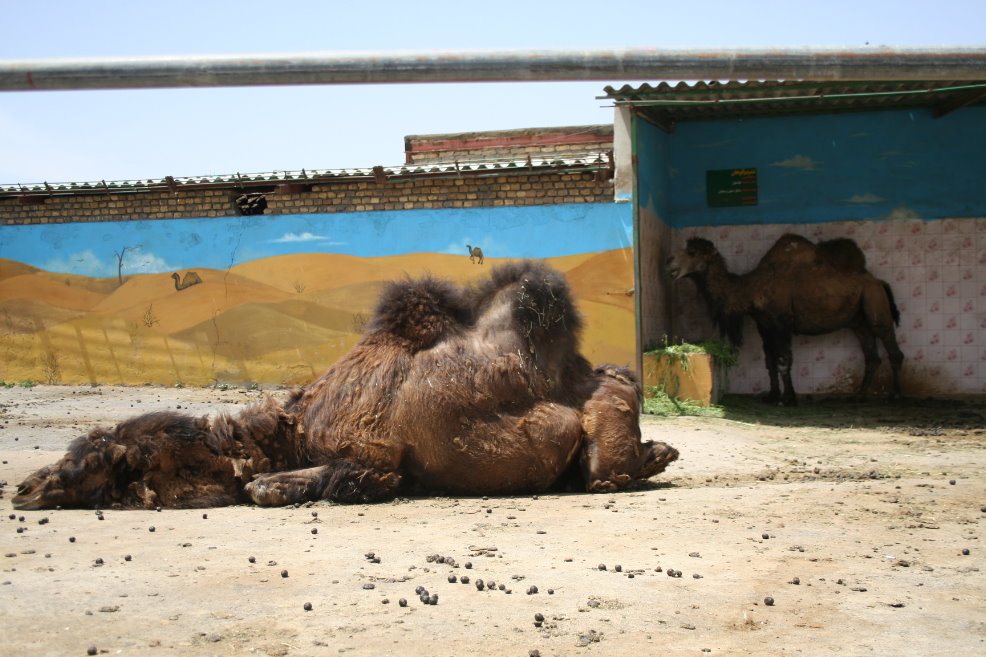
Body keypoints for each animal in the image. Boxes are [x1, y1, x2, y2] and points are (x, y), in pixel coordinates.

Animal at [14, 261, 677, 510]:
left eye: (88, 462)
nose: (23, 487)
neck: (292, 431)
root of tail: (616, 376)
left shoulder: (372, 460)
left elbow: (264, 487)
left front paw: (267, 485)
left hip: (603, 432)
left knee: (605, 473)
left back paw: (654, 455)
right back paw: (659, 451)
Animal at [666, 234, 903, 406]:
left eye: (692, 252)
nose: (669, 262)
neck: (750, 289)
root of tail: (879, 282)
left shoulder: (781, 323)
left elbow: (783, 360)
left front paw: (789, 398)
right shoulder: (764, 324)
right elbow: (769, 361)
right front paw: (772, 396)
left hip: (875, 304)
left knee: (892, 348)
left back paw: (895, 396)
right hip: (858, 321)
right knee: (871, 356)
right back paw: (858, 397)